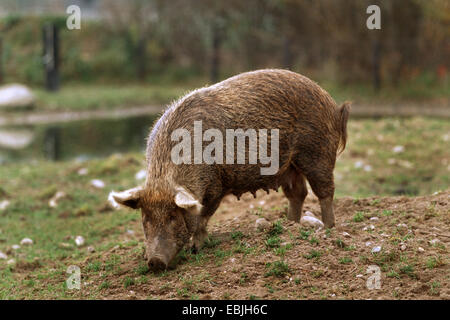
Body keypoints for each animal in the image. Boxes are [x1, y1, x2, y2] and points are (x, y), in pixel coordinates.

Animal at [109, 69, 348, 272]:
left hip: (317, 153)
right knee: (298, 194)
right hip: (290, 167)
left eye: (173, 216)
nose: (155, 261)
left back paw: (327, 228)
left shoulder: (216, 186)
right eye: (145, 218)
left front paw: (196, 248)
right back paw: (290, 225)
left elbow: (203, 216)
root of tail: (332, 103)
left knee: (324, 191)